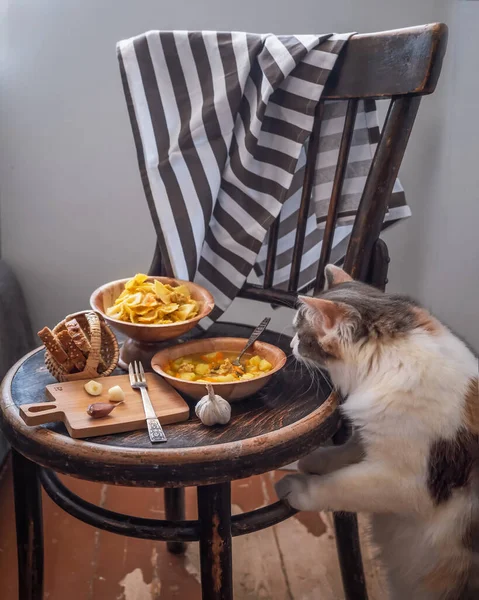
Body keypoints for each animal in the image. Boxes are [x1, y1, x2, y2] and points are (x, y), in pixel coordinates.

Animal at [276, 264, 478, 600]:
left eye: (301, 334)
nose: (291, 345)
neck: (388, 363)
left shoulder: (401, 480)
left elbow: (339, 485)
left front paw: (300, 487)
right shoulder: (376, 433)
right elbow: (348, 449)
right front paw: (316, 459)